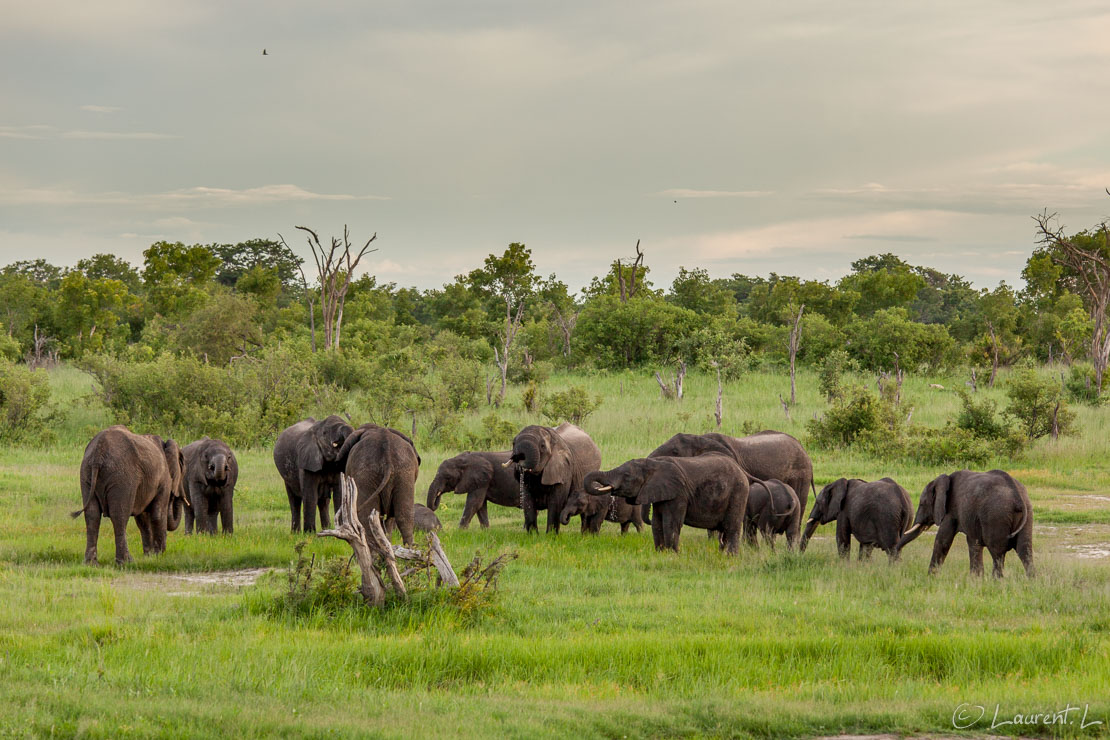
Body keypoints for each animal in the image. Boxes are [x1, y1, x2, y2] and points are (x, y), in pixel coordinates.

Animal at [70, 426, 186, 563]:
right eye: (183, 469)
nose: (176, 496)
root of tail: (98, 452)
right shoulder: (163, 479)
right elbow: (157, 514)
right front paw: (159, 556)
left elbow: (142, 519)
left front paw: (149, 556)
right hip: (123, 477)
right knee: (119, 515)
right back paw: (126, 562)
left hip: (86, 474)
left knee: (92, 515)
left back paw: (91, 563)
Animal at [337, 421, 419, 550]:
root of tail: (387, 457)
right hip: (404, 474)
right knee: (404, 516)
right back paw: (408, 550)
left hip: (366, 474)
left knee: (367, 516)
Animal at [581, 454, 754, 552]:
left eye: (627, 476)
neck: (653, 464)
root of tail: (742, 471)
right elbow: (657, 523)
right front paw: (661, 553)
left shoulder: (678, 494)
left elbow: (670, 523)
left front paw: (673, 554)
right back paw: (721, 554)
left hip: (738, 493)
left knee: (731, 527)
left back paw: (730, 557)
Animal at [892, 468, 1030, 576]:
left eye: (922, 503)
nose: (895, 563)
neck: (945, 479)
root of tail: (1016, 494)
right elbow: (973, 543)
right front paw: (976, 579)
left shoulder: (951, 510)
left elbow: (942, 541)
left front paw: (930, 578)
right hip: (1027, 513)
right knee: (1025, 550)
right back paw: (1031, 582)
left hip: (996, 515)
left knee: (997, 553)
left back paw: (996, 582)